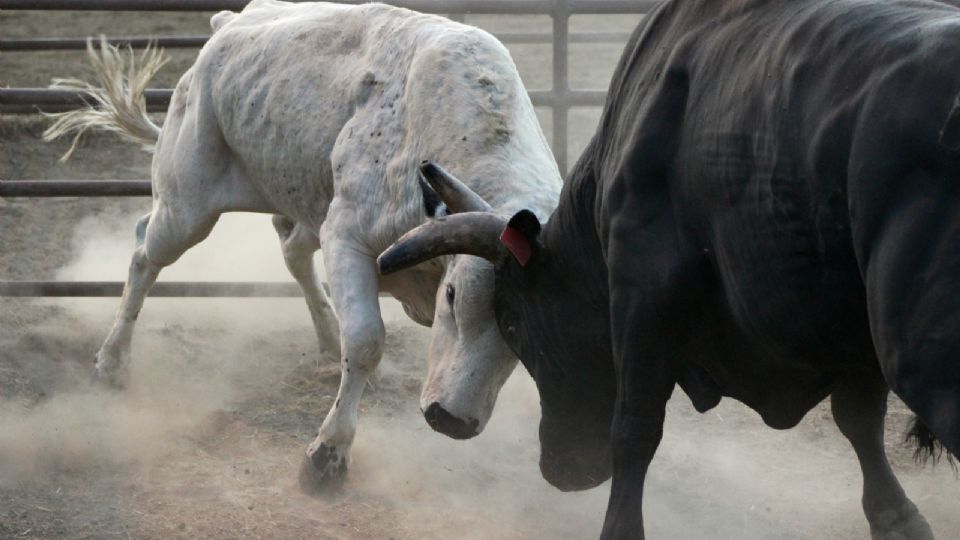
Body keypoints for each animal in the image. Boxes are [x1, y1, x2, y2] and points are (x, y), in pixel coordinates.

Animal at [48, 0, 560, 492]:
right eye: (452, 296)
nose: (450, 420)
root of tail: (227, 24)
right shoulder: (347, 238)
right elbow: (367, 342)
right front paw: (327, 455)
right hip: (185, 207)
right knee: (143, 253)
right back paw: (112, 362)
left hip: (303, 204)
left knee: (292, 251)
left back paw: (328, 338)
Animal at [378, 0, 960, 536]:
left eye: (513, 326)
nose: (561, 469)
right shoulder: (849, 329)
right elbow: (858, 420)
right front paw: (896, 518)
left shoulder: (643, 295)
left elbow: (635, 428)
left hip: (920, 358)